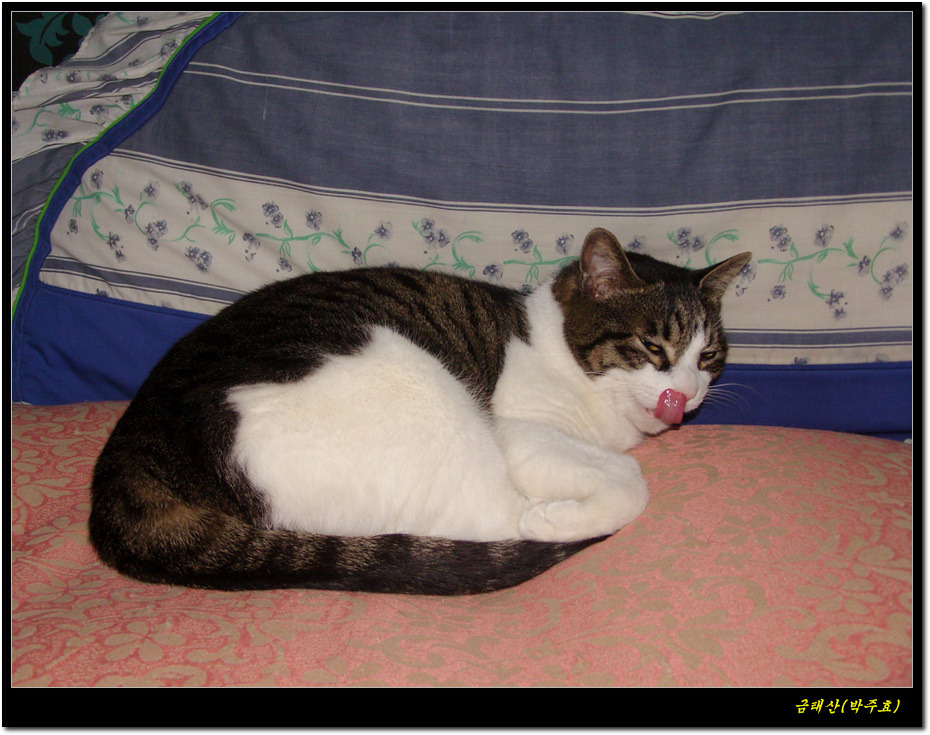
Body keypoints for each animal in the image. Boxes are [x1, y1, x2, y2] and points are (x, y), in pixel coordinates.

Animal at [89, 227, 751, 595]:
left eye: (708, 356)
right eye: (653, 348)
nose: (686, 395)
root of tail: (126, 472)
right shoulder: (520, 429)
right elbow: (631, 482)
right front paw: (569, 510)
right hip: (420, 387)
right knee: (499, 520)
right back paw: (546, 521)